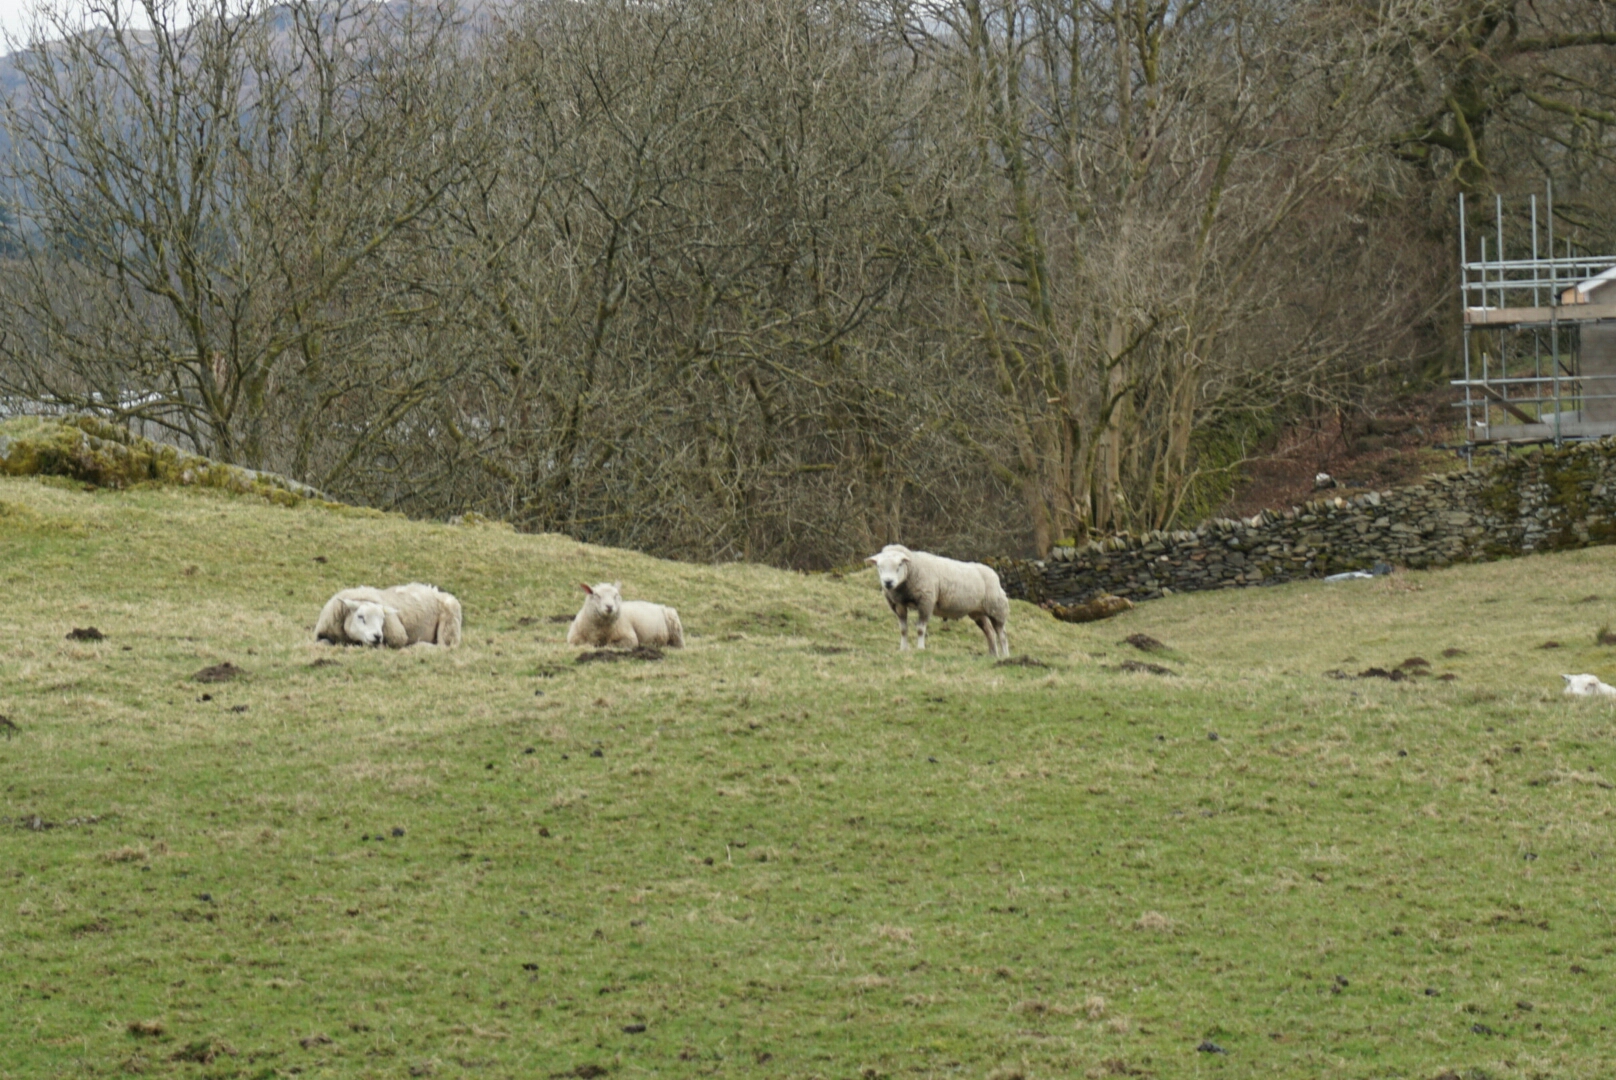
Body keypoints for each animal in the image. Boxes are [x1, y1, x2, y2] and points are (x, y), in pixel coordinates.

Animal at [315, 582, 465, 649]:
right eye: (360, 616)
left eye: (383, 619)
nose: (377, 636)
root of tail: (435, 590)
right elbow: (324, 642)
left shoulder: (397, 637)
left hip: (449, 628)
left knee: (444, 646)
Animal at [866, 543, 1001, 653]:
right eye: (878, 566)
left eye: (899, 565)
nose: (888, 582)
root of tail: (992, 572)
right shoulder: (899, 605)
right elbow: (903, 630)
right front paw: (903, 649)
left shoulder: (926, 603)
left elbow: (920, 630)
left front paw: (920, 649)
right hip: (978, 612)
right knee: (990, 631)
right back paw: (993, 655)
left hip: (997, 608)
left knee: (1001, 633)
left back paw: (1003, 654)